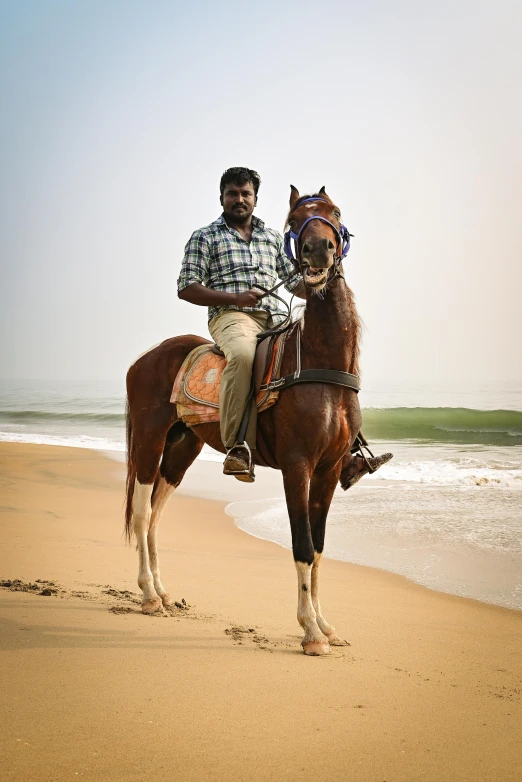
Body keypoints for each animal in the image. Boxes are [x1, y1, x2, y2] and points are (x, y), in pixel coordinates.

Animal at [126, 187, 362, 660]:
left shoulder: (328, 470)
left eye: (335, 212)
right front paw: (310, 632)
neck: (321, 363)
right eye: (294, 220)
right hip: (148, 439)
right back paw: (147, 596)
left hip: (181, 448)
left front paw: (326, 626)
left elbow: (320, 547)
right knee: (142, 513)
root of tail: (145, 359)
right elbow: (302, 545)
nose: (319, 249)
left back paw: (162, 592)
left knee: (157, 514)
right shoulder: (297, 466)